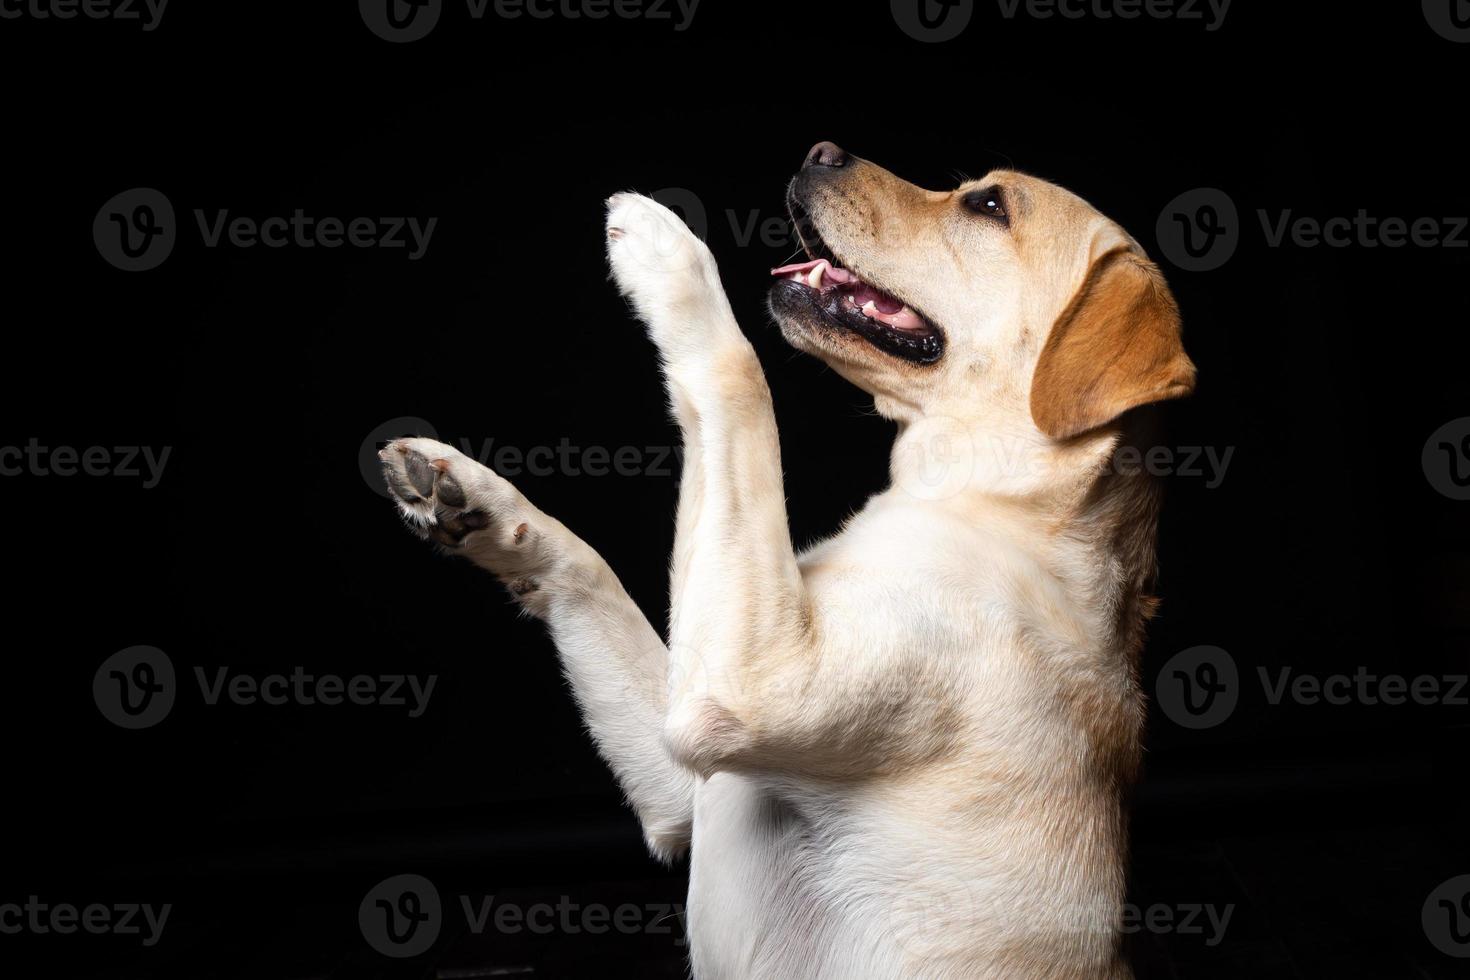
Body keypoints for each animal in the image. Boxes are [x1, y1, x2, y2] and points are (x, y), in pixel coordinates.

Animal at [379, 139, 1193, 980]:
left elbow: (741, 378)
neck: (1000, 503)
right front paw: (474, 502)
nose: (821, 151)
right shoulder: (687, 780)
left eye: (989, 206)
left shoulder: (746, 685)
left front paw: (670, 252)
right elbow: (591, 563)